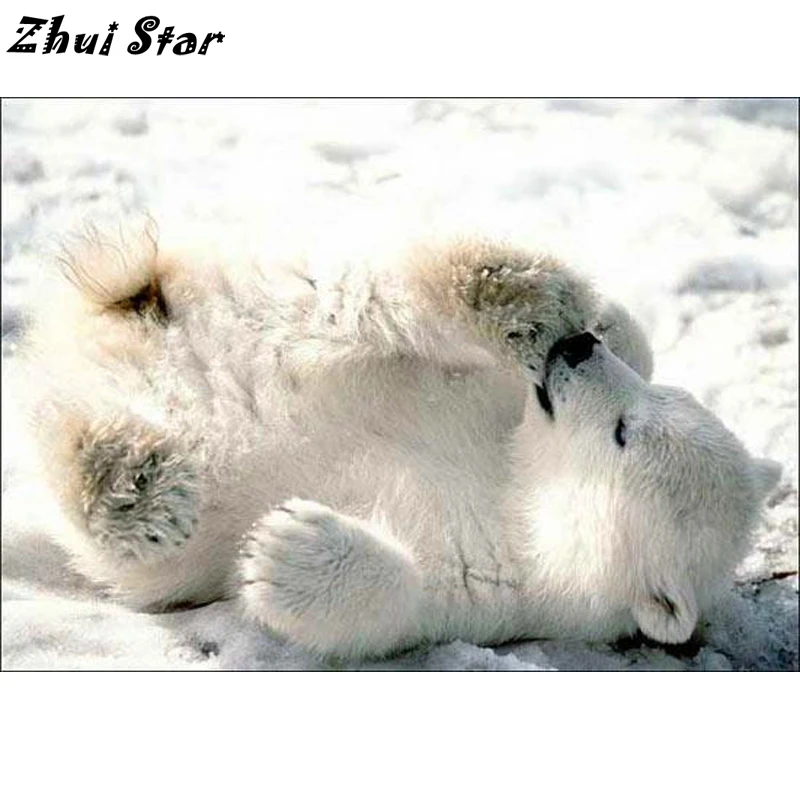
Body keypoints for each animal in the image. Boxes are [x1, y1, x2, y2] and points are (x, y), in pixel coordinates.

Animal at [21, 223, 781, 660]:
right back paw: (517, 291)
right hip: (268, 303)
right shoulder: (494, 403)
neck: (517, 484)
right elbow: (628, 342)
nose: (574, 351)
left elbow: (396, 606)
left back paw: (133, 485)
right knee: (363, 301)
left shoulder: (501, 589)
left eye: (625, 434)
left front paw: (286, 547)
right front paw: (595, 321)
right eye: (654, 405)